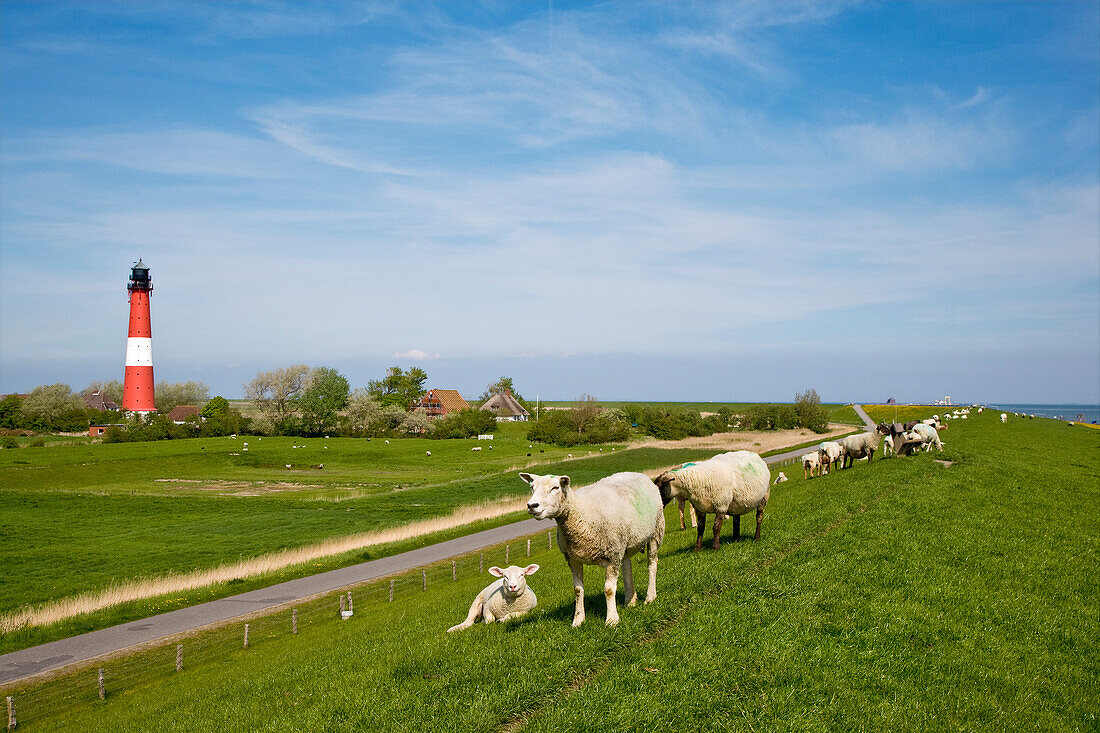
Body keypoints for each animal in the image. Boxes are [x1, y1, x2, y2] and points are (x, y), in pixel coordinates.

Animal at [521, 471, 664, 625]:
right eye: (532, 488)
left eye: (555, 487)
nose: (532, 505)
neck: (581, 514)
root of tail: (636, 473)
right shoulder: (572, 559)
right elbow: (577, 589)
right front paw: (578, 620)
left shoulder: (612, 555)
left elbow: (609, 590)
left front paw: (612, 619)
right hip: (623, 543)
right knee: (627, 567)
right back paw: (630, 600)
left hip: (655, 531)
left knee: (652, 564)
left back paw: (650, 596)